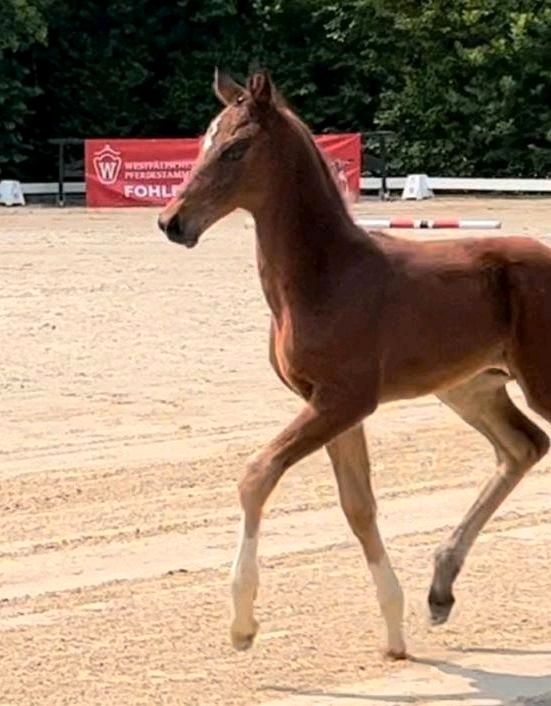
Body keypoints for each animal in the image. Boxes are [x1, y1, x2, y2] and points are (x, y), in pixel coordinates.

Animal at [158, 70, 551, 656]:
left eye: (235, 148)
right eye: (203, 143)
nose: (172, 221)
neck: (327, 275)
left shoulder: (345, 399)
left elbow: (256, 475)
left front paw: (242, 623)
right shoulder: (330, 404)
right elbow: (358, 506)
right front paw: (395, 630)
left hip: (535, 382)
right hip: (471, 388)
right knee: (523, 447)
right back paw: (440, 589)